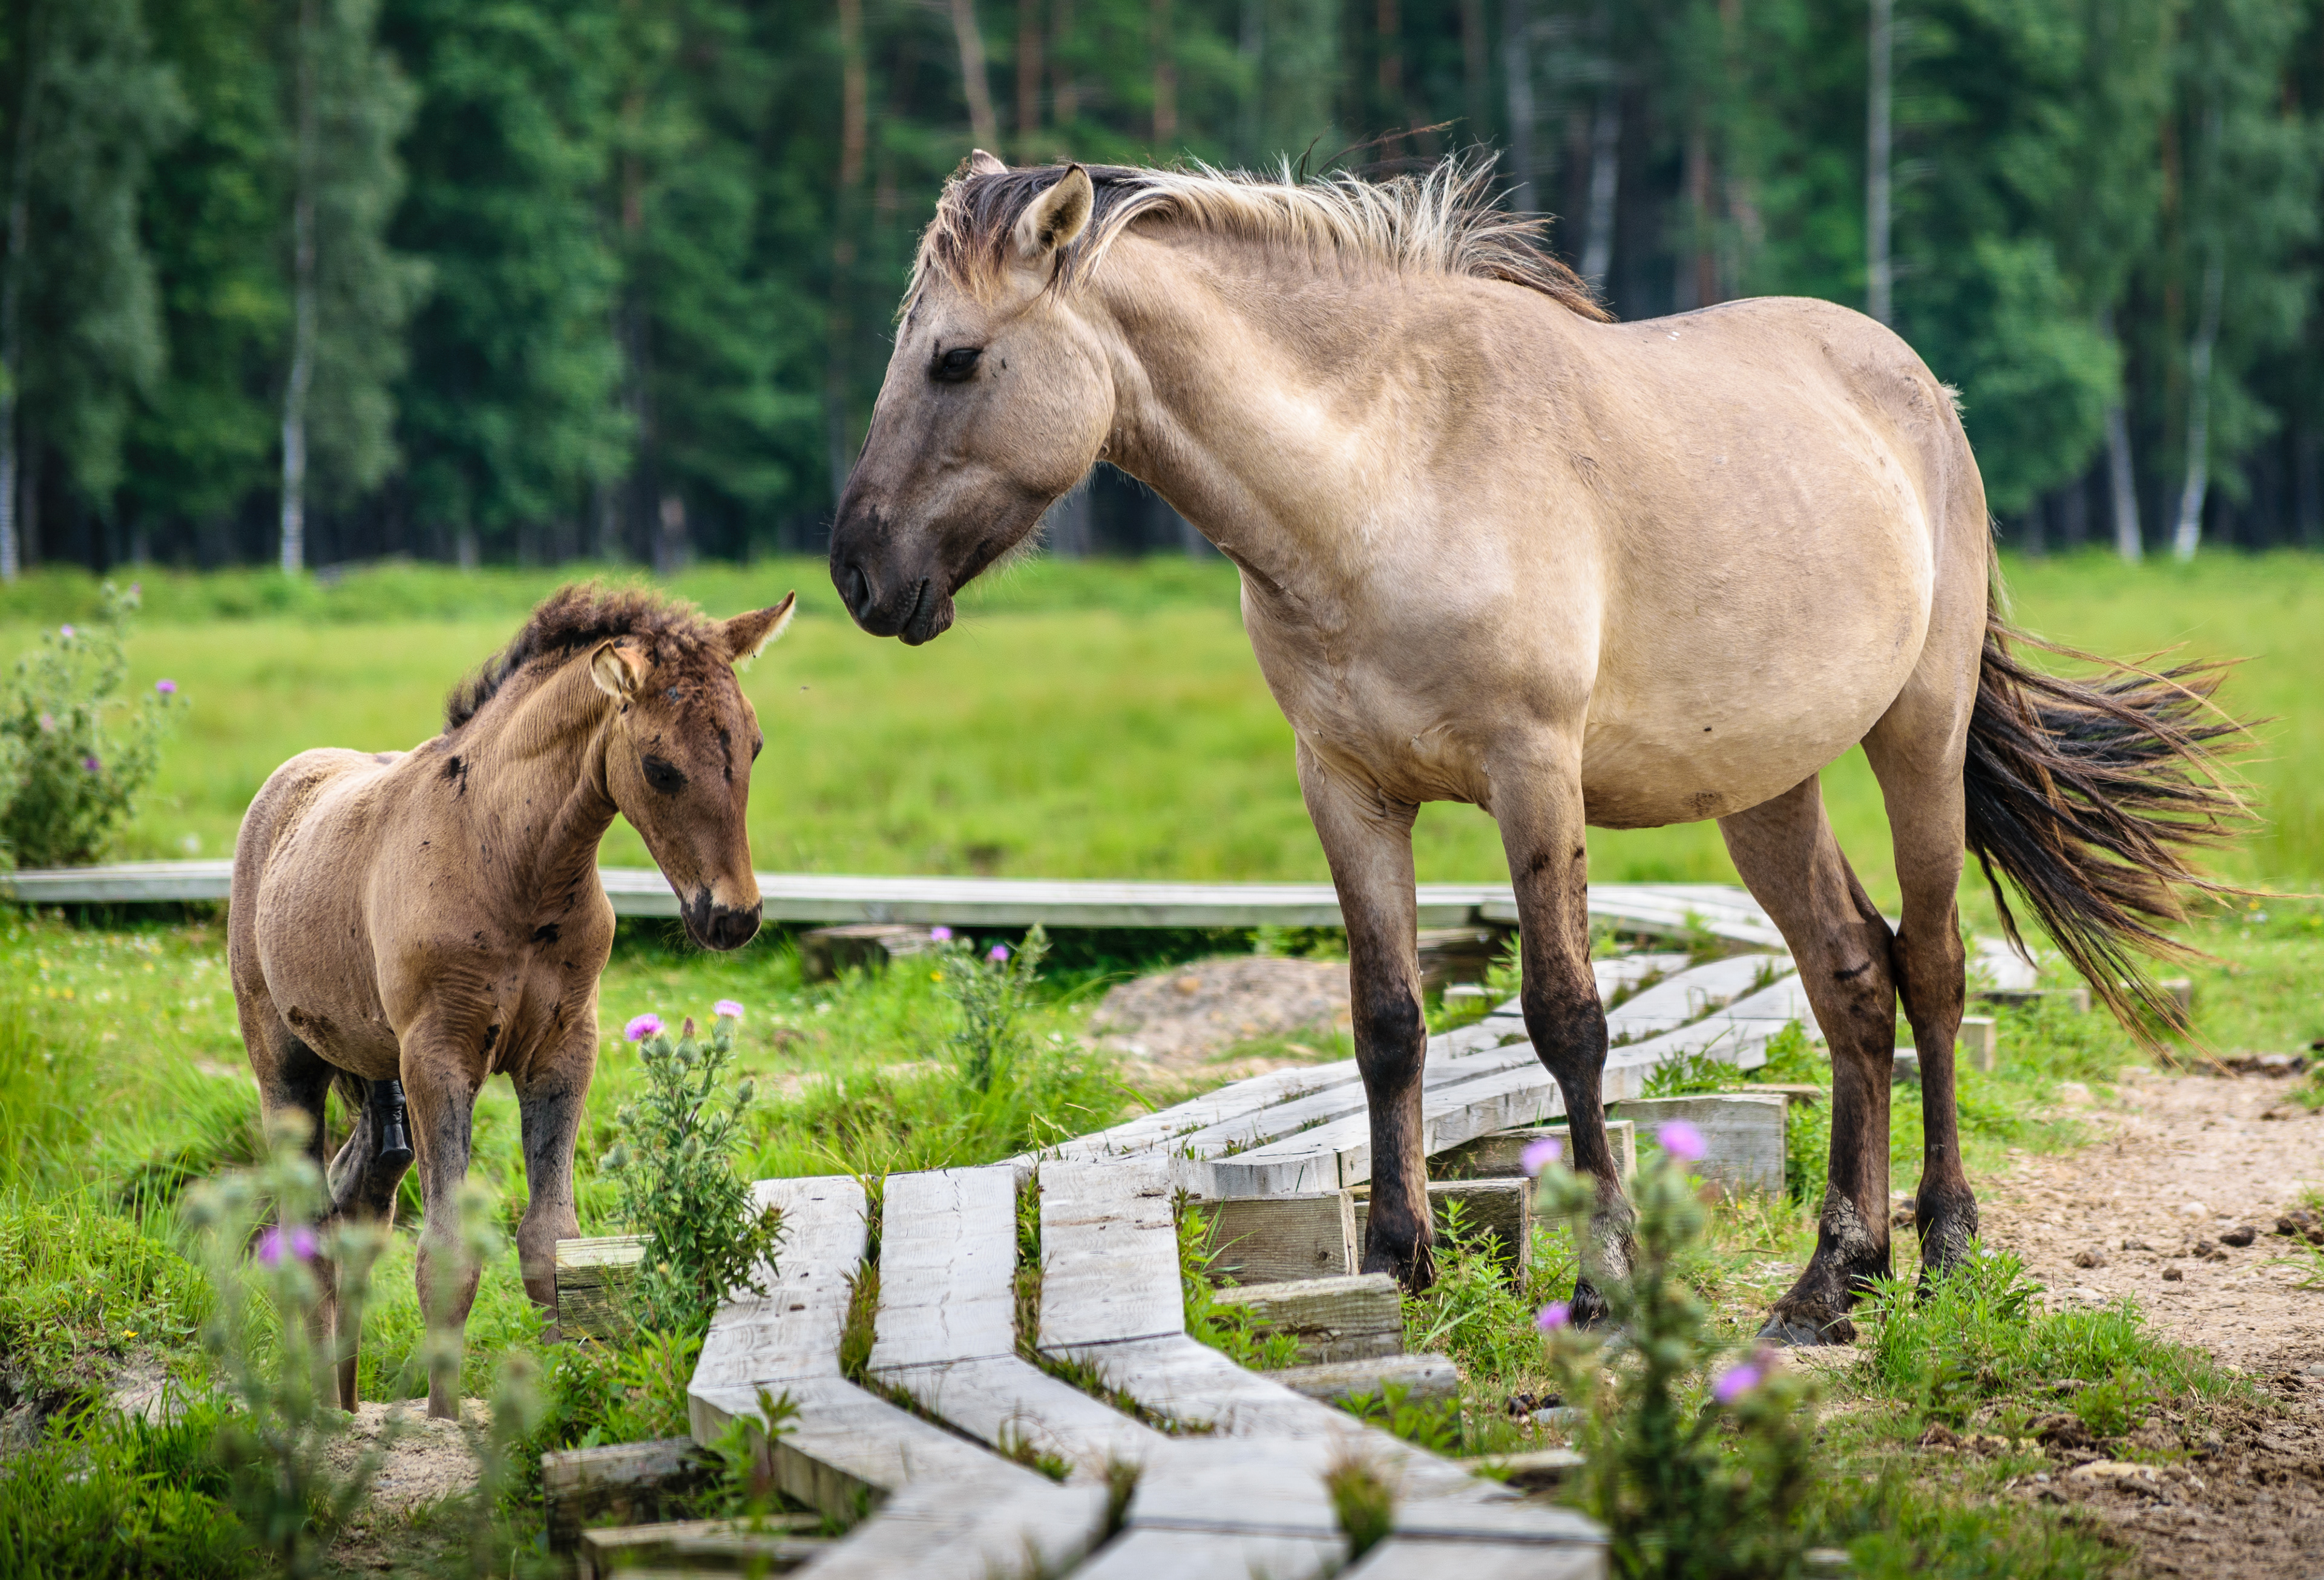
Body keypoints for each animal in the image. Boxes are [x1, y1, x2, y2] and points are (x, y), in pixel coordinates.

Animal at [228, 584, 795, 1415]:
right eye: (659, 768)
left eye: (753, 747)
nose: (734, 917)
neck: (512, 863)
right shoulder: (440, 1056)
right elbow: (446, 1259)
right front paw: (442, 1418)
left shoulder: (563, 1050)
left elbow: (552, 1243)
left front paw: (570, 1389)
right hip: (287, 1066)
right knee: (305, 1225)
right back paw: (316, 1411)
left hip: (372, 1070)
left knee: (358, 1195)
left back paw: (347, 1401)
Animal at [825, 153, 2248, 1343]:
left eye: (954, 360)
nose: (858, 575)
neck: (1382, 472)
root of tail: (1921, 390)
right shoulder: (1346, 789)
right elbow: (1387, 1020)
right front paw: (1398, 1260)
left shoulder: (1533, 773)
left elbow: (1568, 1020)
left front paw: (1605, 1276)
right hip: (1766, 788)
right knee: (1854, 977)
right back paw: (1830, 1279)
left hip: (1921, 736)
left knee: (1938, 971)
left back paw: (1946, 1251)